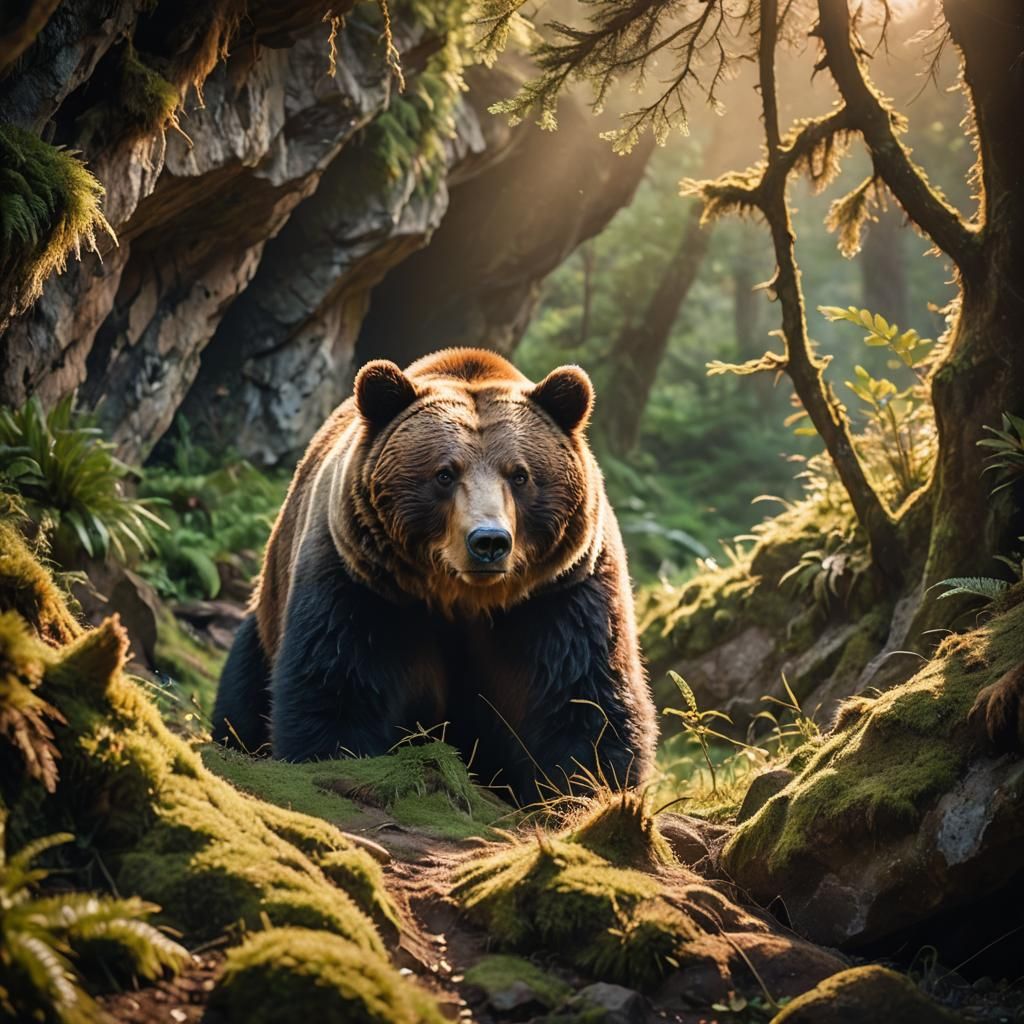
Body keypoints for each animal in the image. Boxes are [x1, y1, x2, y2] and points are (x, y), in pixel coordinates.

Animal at [211, 348, 657, 805]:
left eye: (520, 474)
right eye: (445, 473)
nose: (489, 541)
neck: (463, 598)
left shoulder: (561, 594)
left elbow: (583, 700)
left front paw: (584, 790)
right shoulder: (362, 584)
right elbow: (337, 684)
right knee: (244, 690)